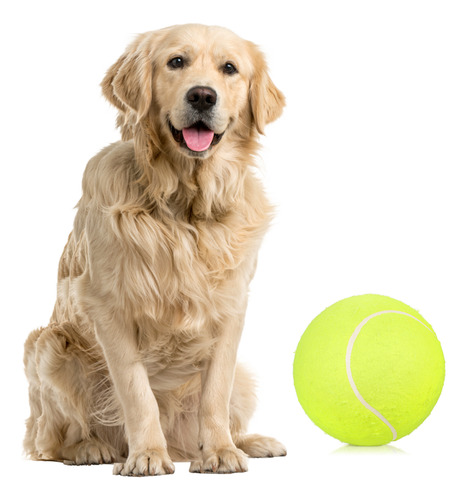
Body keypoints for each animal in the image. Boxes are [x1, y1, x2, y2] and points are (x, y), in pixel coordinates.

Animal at [23, 24, 288, 476]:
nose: (203, 96)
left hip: (244, 379)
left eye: (229, 68)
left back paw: (250, 441)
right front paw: (146, 454)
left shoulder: (231, 308)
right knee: (48, 441)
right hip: (48, 345)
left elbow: (215, 394)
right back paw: (90, 447)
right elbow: (136, 392)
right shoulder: (108, 307)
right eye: (176, 62)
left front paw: (220, 451)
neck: (184, 206)